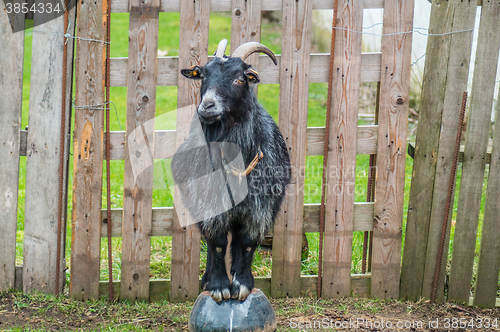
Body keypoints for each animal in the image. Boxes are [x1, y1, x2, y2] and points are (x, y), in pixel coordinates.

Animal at [172, 40, 292, 302]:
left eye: (240, 78)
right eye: (203, 75)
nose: (207, 106)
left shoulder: (259, 208)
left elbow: (247, 243)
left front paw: (242, 284)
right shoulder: (210, 205)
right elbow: (216, 242)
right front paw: (218, 286)